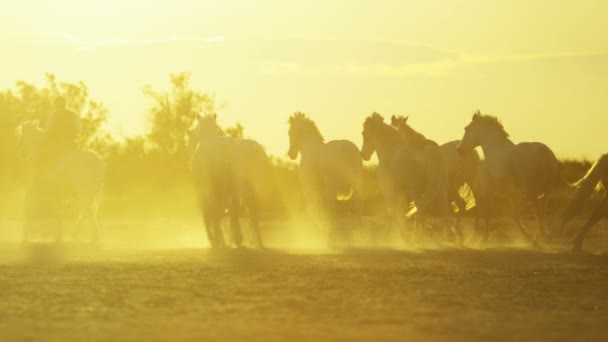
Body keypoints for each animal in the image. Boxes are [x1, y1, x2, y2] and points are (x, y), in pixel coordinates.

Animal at [190, 113, 270, 247]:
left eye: (197, 129)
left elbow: (215, 214)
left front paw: (220, 239)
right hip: (250, 188)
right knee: (250, 213)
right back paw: (255, 241)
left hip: (229, 188)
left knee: (225, 211)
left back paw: (229, 239)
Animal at [288, 111, 364, 242]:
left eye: (290, 132)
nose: (290, 154)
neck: (309, 150)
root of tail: (348, 150)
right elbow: (318, 210)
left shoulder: (309, 189)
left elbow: (313, 209)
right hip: (356, 184)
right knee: (357, 207)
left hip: (331, 187)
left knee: (333, 208)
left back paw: (331, 234)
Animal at [358, 112, 458, 243]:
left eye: (364, 133)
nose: (363, 154)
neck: (391, 151)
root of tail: (431, 151)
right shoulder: (398, 190)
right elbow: (392, 212)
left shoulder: (388, 190)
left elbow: (392, 211)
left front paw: (399, 235)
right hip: (441, 188)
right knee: (442, 210)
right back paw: (445, 236)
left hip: (416, 190)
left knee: (421, 208)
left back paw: (418, 236)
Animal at [456, 110, 560, 246]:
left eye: (467, 129)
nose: (459, 149)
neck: (495, 151)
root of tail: (543, 153)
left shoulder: (490, 191)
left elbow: (490, 214)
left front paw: (483, 239)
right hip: (543, 192)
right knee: (540, 213)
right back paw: (542, 237)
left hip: (526, 194)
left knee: (531, 214)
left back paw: (536, 239)